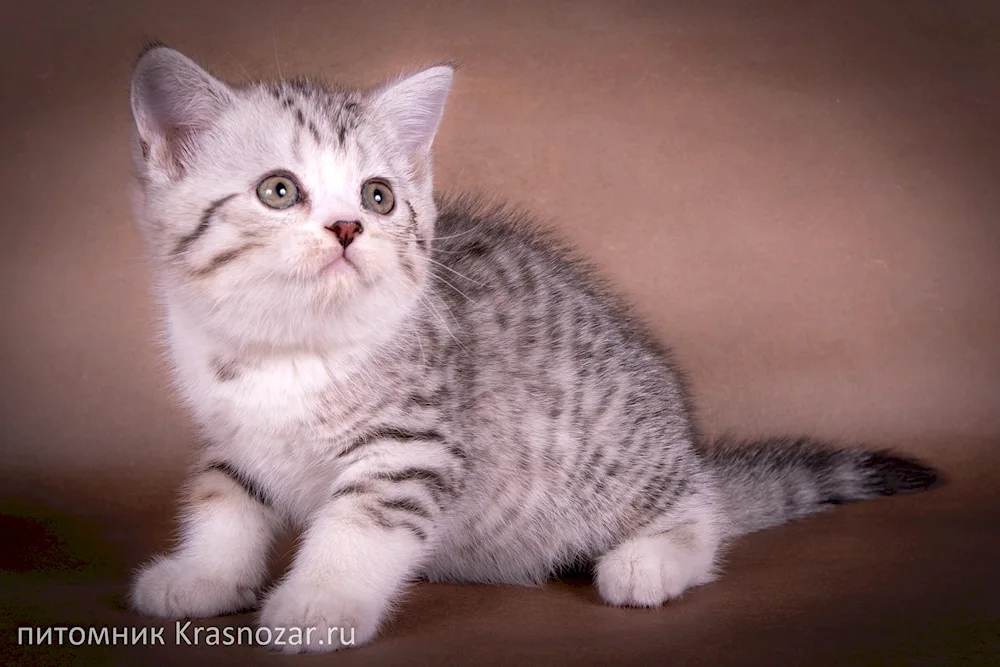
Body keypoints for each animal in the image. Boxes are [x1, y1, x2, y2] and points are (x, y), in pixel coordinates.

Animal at [125, 45, 936, 652]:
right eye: (280, 191)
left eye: (378, 196)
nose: (348, 227)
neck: (288, 348)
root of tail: (681, 442)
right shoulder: (232, 435)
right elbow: (223, 496)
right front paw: (202, 576)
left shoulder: (411, 445)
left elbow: (358, 526)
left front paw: (317, 603)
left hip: (617, 463)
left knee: (704, 510)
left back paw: (650, 558)